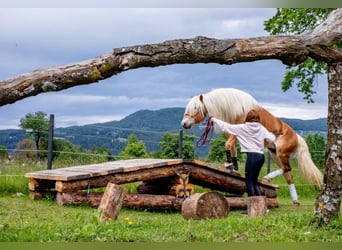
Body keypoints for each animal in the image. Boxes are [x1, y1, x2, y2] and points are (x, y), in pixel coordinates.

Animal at [182, 87, 324, 205]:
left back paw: (267, 178)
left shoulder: (238, 130)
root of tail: (297, 138)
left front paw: (228, 165)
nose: (184, 124)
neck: (238, 109)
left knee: (287, 169)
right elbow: (232, 148)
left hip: (281, 153)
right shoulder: (232, 131)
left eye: (196, 108)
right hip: (275, 154)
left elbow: (228, 145)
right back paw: (295, 200)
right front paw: (233, 168)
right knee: (288, 174)